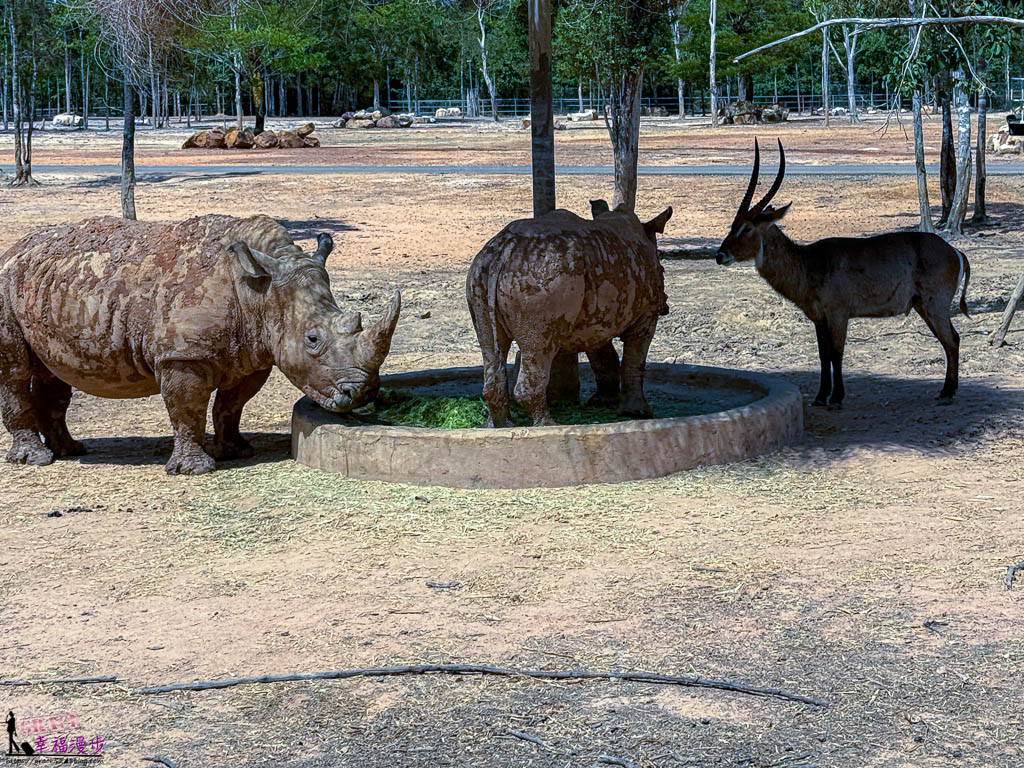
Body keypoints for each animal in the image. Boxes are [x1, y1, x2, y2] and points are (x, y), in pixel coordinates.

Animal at [715, 139, 970, 408]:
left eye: (747, 228)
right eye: (732, 224)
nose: (720, 255)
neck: (808, 262)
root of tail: (955, 252)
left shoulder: (838, 315)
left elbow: (836, 353)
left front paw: (836, 397)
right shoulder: (818, 318)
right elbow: (822, 355)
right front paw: (820, 396)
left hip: (935, 306)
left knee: (952, 340)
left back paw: (947, 392)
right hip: (924, 307)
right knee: (950, 340)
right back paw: (947, 391)